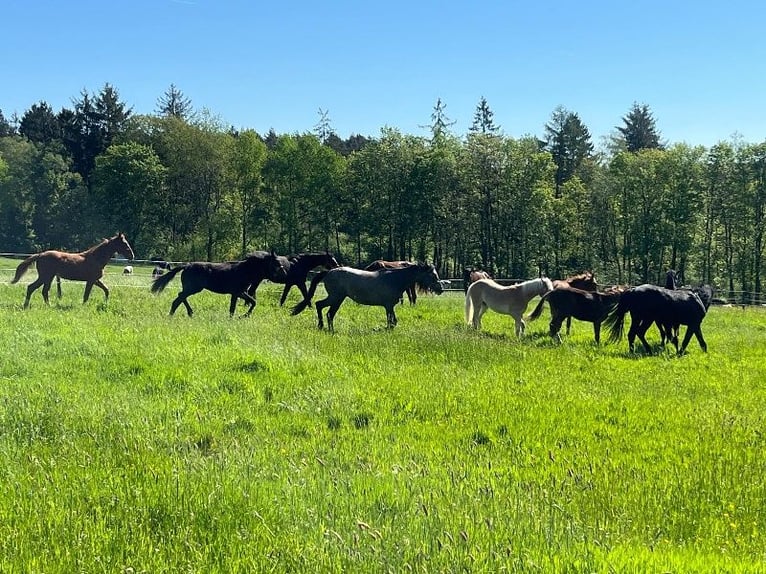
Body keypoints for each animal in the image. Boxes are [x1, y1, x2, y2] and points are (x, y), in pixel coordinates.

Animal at [152, 250, 290, 318]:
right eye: (276, 263)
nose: (285, 273)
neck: (244, 270)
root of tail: (187, 266)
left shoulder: (241, 293)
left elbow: (251, 302)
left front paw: (243, 316)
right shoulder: (237, 293)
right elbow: (235, 308)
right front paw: (240, 317)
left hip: (192, 289)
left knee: (181, 296)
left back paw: (190, 313)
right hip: (193, 288)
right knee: (179, 298)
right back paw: (173, 314)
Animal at [292, 262, 444, 330]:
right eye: (432, 275)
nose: (440, 289)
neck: (395, 279)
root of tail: (328, 272)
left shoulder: (389, 307)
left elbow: (393, 321)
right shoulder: (388, 306)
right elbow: (391, 322)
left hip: (337, 298)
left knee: (326, 310)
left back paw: (325, 328)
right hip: (336, 298)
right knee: (324, 309)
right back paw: (325, 327)